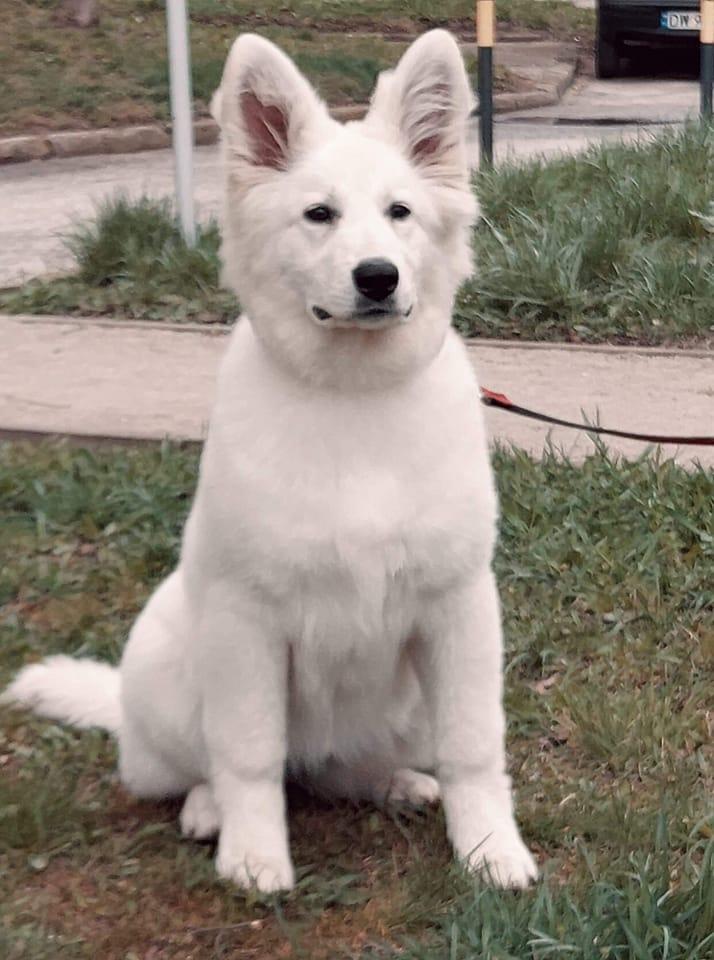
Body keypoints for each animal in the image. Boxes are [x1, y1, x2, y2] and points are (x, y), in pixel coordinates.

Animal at [1, 33, 536, 896]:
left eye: (400, 212)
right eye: (319, 215)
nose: (377, 276)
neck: (353, 399)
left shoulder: (458, 609)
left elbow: (474, 746)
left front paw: (490, 849)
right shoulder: (247, 620)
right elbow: (249, 753)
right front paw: (255, 857)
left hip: (403, 706)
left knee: (338, 772)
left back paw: (395, 783)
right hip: (171, 655)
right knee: (201, 769)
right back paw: (208, 811)